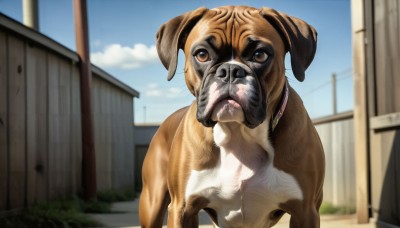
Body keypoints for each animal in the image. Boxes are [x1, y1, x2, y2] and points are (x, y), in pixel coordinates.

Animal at [139, 5, 324, 228]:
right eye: (202, 54)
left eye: (260, 55)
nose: (230, 70)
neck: (239, 134)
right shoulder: (181, 209)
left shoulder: (306, 212)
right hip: (153, 204)